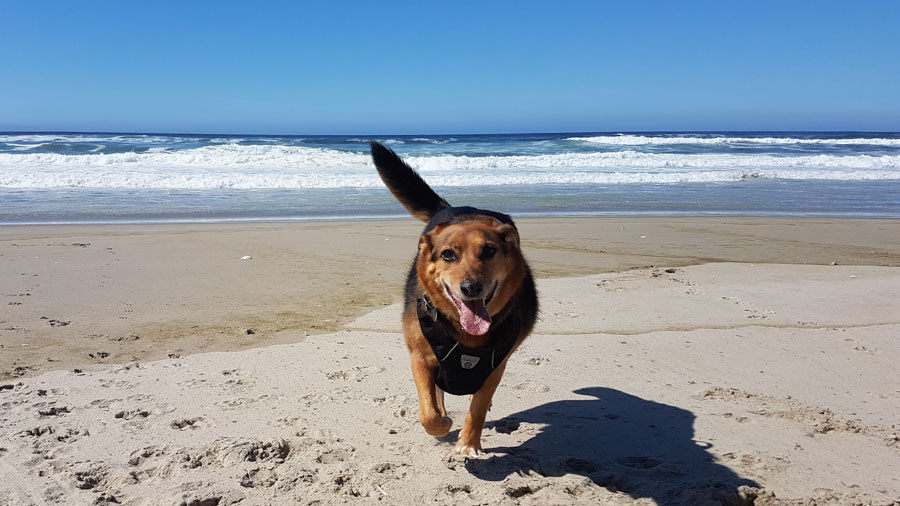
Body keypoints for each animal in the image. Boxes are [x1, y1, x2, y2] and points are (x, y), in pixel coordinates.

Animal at [370, 141, 536, 454]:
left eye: (489, 251)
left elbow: (479, 407)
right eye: (448, 255)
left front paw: (469, 443)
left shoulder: (496, 366)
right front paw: (443, 422)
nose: (471, 287)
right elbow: (429, 413)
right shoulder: (421, 357)